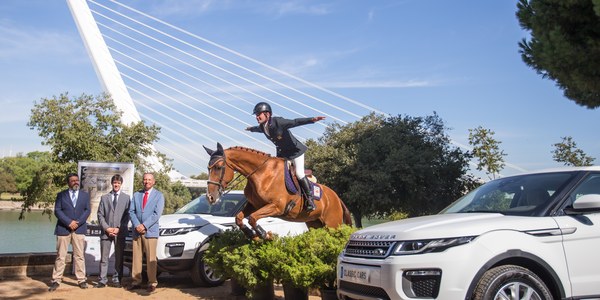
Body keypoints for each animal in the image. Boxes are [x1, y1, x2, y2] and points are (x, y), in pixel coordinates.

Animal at [204, 143, 352, 239]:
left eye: (218, 167)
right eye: (208, 168)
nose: (210, 197)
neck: (261, 173)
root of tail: (336, 197)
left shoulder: (276, 207)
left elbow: (252, 218)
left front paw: (264, 235)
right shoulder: (254, 205)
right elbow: (239, 218)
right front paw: (252, 235)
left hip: (333, 224)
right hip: (314, 223)